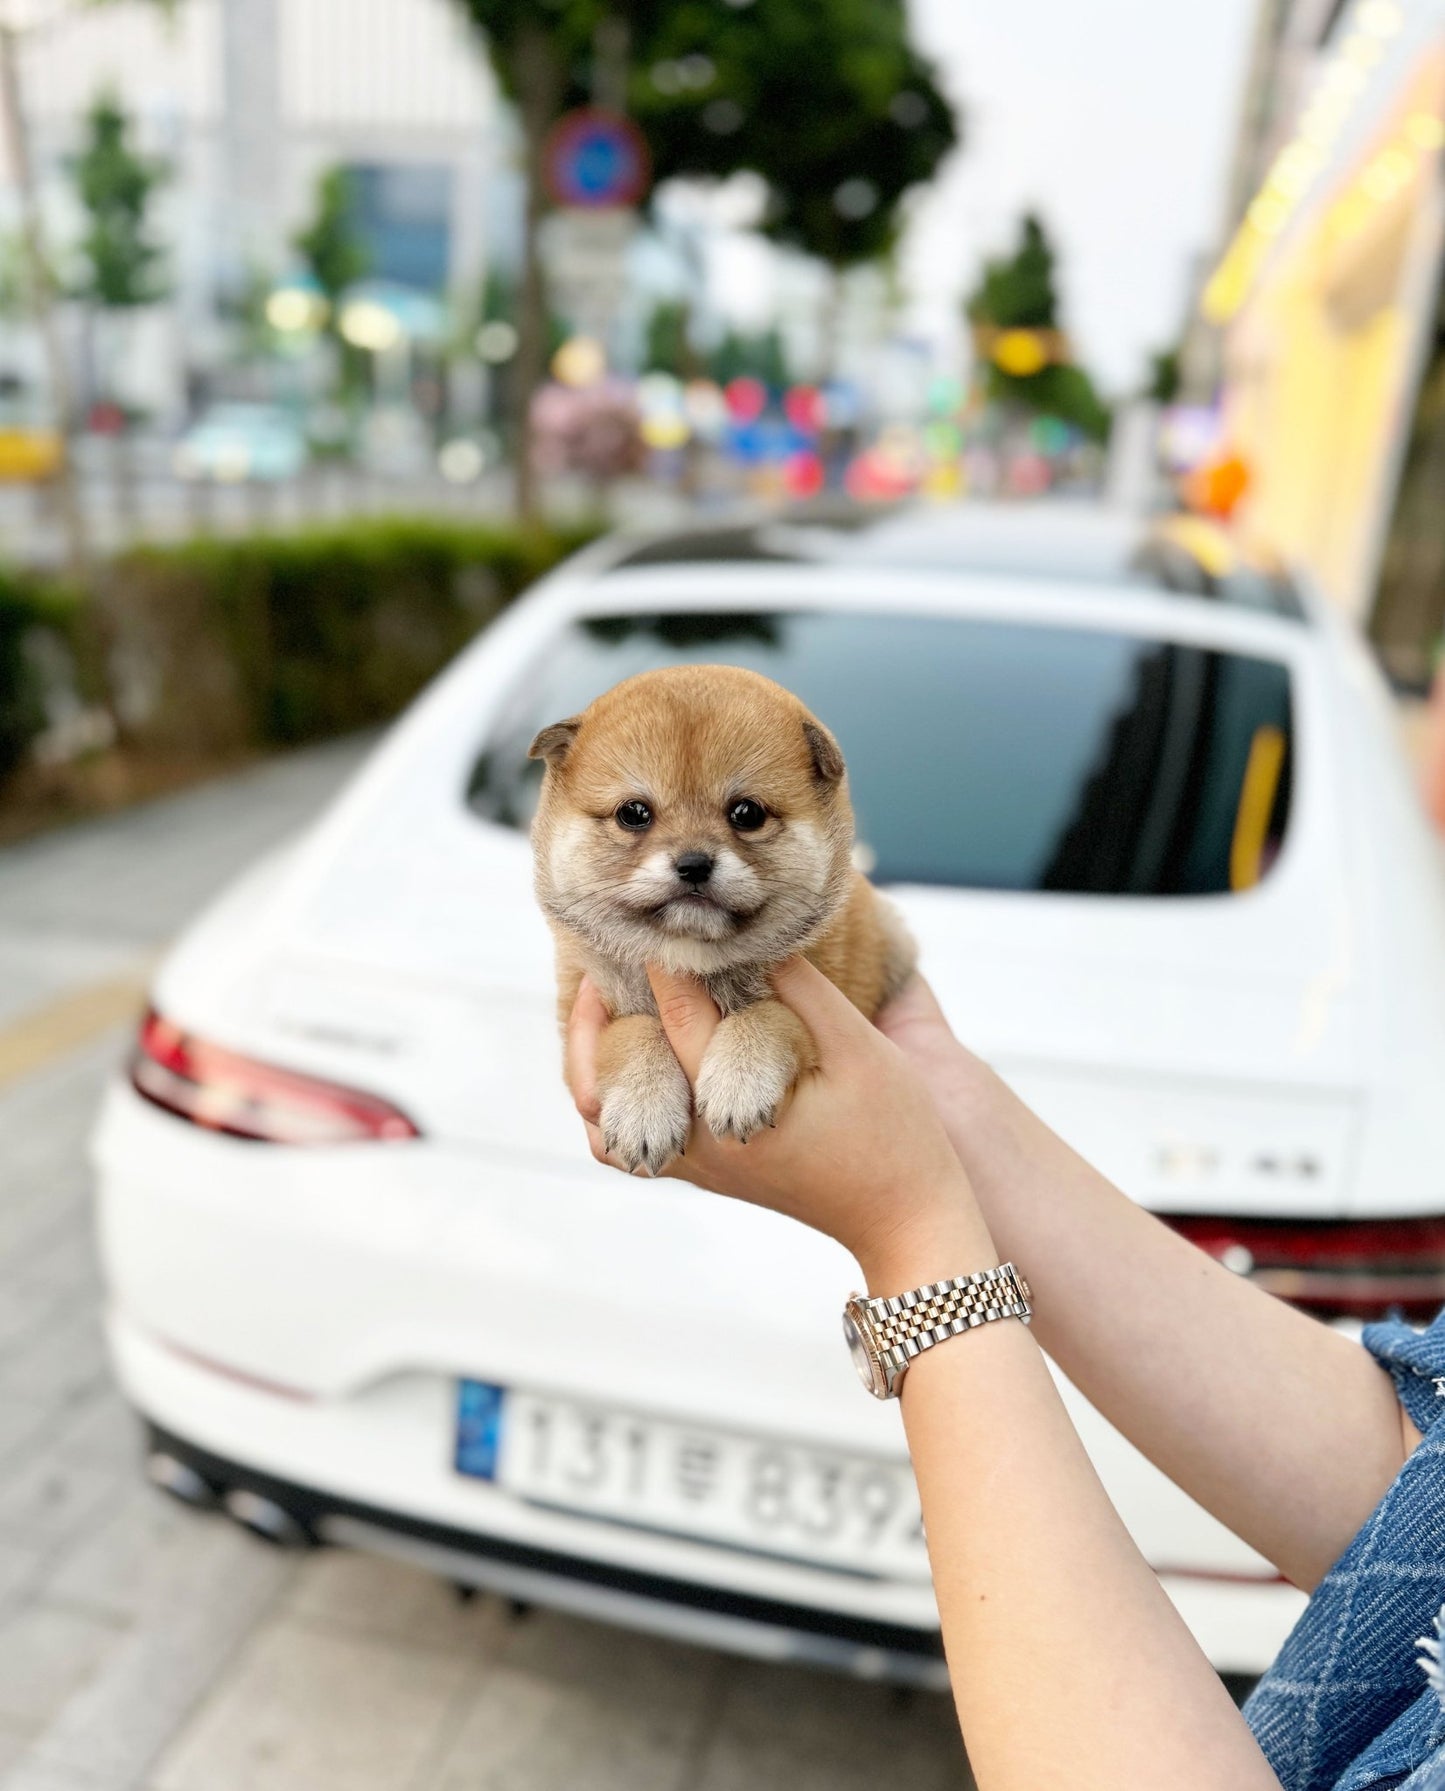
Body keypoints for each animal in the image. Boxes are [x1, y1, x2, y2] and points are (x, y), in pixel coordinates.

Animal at [530, 662, 916, 1174]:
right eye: (634, 813)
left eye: (746, 813)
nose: (694, 863)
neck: (694, 961)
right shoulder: (589, 1009)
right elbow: (635, 1030)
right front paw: (644, 1106)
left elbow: (769, 1014)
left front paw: (740, 1079)